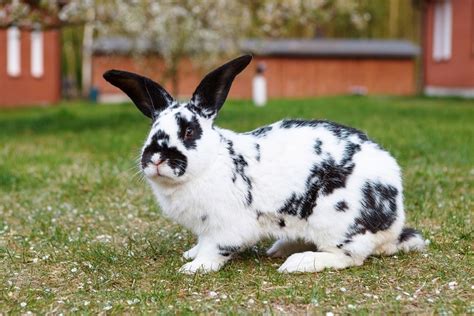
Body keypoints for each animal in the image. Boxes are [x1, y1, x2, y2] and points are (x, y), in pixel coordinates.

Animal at [103, 55, 426, 274]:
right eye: (152, 129)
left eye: (189, 132)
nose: (156, 157)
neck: (211, 164)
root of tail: (394, 222)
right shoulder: (204, 227)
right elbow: (201, 242)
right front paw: (190, 255)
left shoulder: (225, 227)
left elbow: (214, 248)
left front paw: (195, 267)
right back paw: (279, 249)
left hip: (336, 221)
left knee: (349, 257)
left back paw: (298, 262)